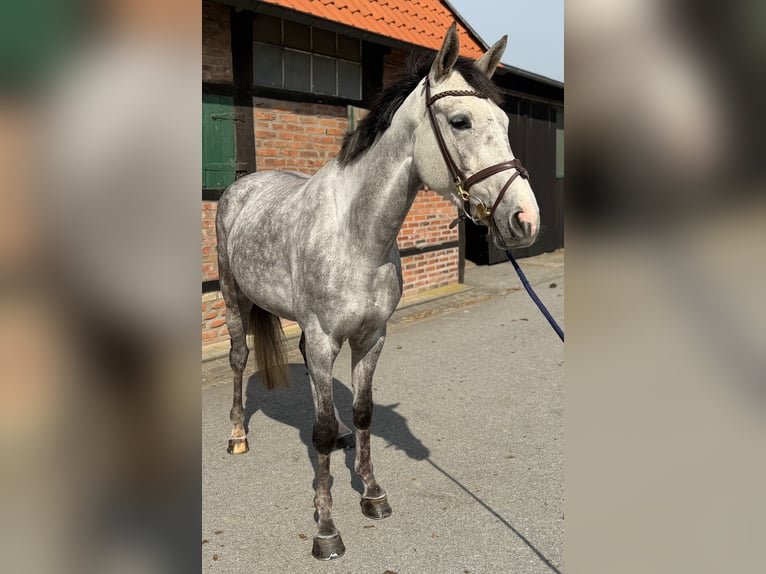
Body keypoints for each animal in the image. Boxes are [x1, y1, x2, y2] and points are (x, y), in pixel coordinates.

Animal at [215, 23, 540, 560]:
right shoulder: (325, 338)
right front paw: (326, 529)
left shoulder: (371, 337)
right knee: (240, 358)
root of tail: (242, 186)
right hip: (232, 296)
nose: (525, 220)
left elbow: (363, 412)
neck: (357, 234)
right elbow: (320, 431)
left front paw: (371, 494)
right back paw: (238, 435)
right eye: (460, 121)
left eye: (506, 122)